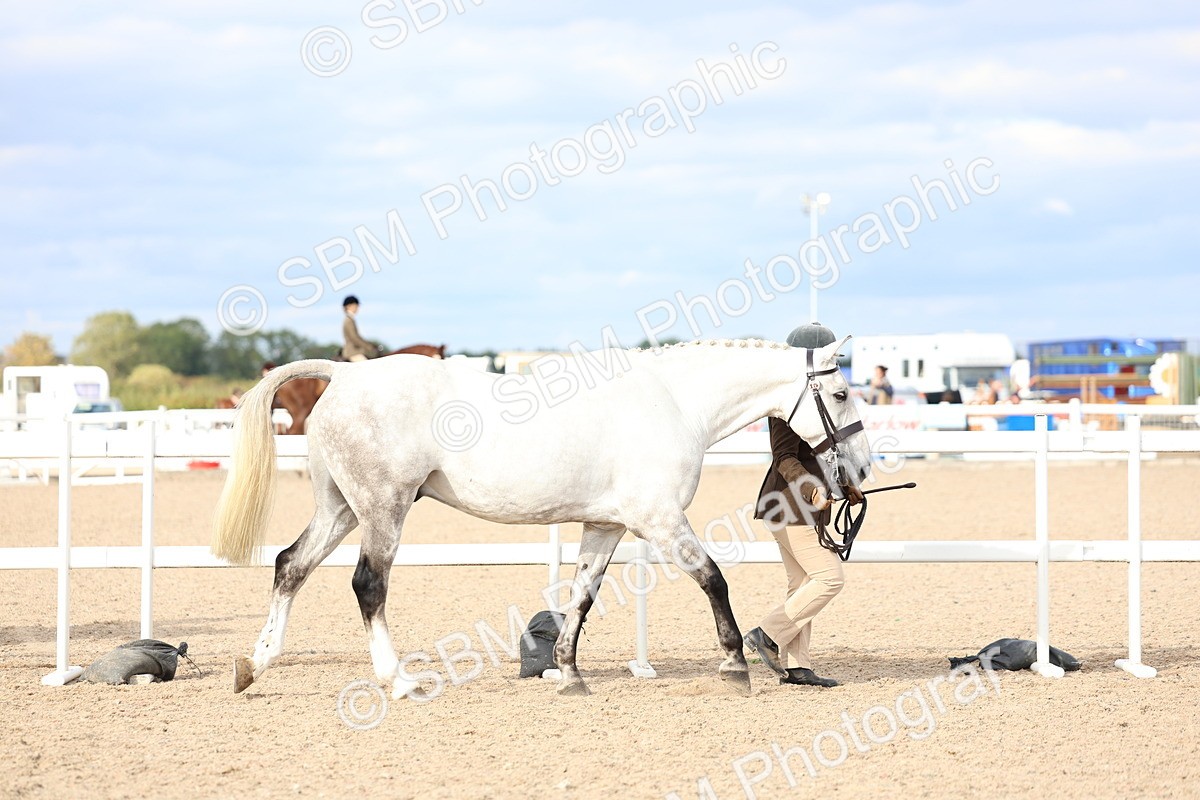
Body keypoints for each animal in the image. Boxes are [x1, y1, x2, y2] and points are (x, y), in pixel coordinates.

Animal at [211, 337, 872, 700]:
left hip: (341, 508)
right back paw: (397, 681)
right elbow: (713, 578)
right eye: (841, 394)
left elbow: (580, 596)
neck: (673, 402)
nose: (863, 467)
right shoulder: (659, 520)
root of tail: (346, 373)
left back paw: (254, 665)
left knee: (291, 566)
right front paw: (735, 664)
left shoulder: (607, 526)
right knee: (368, 585)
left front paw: (569, 673)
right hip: (382, 509)